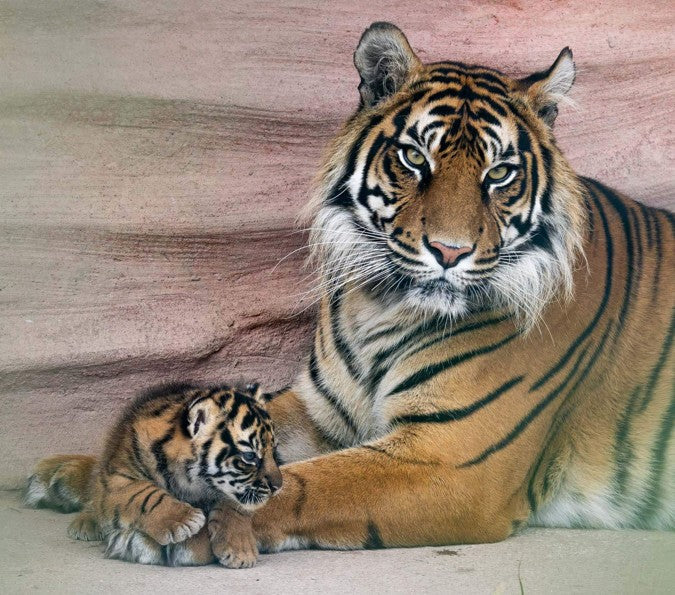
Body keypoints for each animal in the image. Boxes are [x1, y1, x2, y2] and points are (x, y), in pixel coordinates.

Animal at [25, 382, 282, 568]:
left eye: (273, 451)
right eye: (250, 456)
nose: (278, 486)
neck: (193, 480)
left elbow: (234, 507)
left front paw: (240, 550)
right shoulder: (116, 480)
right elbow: (144, 494)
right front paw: (185, 521)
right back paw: (85, 524)